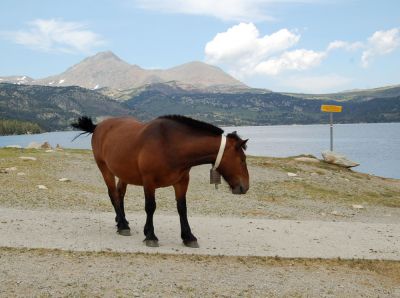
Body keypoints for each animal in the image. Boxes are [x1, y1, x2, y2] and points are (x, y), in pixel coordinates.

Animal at [70, 115, 248, 248]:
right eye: (242, 159)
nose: (245, 186)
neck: (170, 144)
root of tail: (99, 126)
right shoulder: (149, 182)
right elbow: (150, 207)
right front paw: (150, 235)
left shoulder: (182, 181)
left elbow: (182, 208)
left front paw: (188, 236)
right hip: (105, 169)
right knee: (113, 194)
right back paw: (123, 226)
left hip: (123, 174)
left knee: (120, 194)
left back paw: (122, 221)